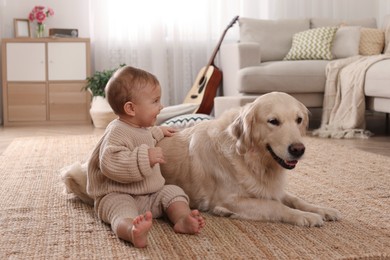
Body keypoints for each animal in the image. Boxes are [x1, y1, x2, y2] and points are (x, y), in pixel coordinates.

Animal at [60, 92, 338, 226]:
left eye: (299, 120)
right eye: (273, 121)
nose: (298, 149)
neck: (251, 159)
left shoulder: (271, 188)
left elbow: (294, 199)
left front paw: (322, 209)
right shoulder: (230, 199)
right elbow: (276, 207)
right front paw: (306, 217)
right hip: (80, 177)